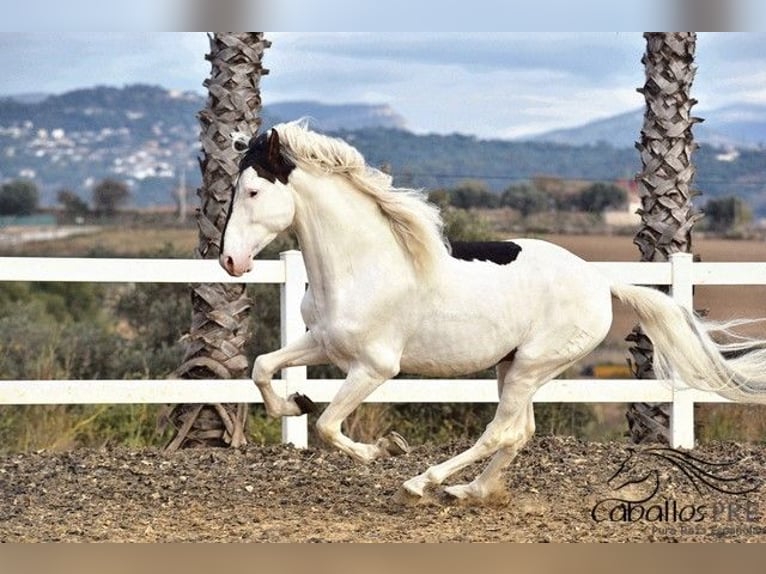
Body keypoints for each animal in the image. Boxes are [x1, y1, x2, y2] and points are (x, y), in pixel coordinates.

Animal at [220, 120, 766, 503]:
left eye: (253, 191)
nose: (231, 262)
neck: (363, 263)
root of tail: (598, 280)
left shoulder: (374, 367)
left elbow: (329, 426)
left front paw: (386, 448)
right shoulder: (321, 342)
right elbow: (263, 367)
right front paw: (294, 404)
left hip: (532, 366)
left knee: (500, 431)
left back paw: (423, 484)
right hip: (513, 366)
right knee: (518, 432)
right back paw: (470, 491)